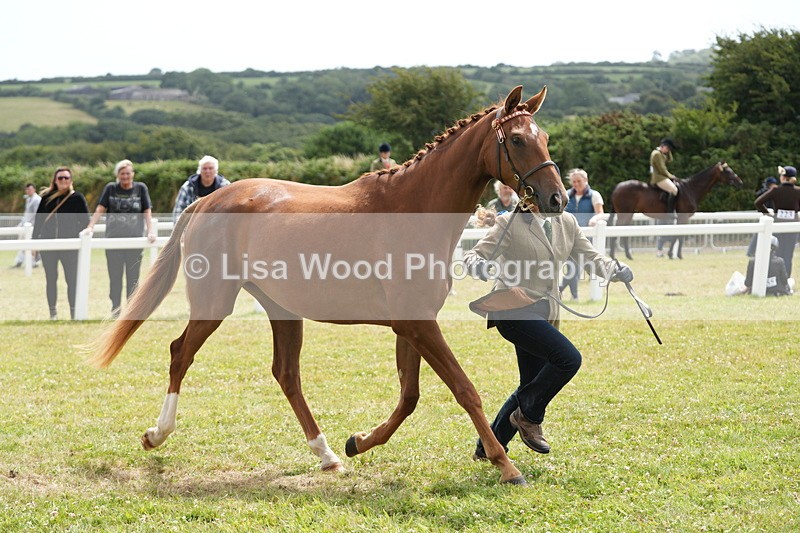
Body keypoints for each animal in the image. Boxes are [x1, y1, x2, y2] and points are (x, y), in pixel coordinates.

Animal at [89, 86, 566, 486]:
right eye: (518, 140)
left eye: (544, 137)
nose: (557, 198)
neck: (412, 206)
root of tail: (206, 201)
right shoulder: (418, 325)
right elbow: (464, 389)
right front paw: (506, 466)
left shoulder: (412, 325)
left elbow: (409, 396)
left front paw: (358, 442)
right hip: (215, 301)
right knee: (180, 353)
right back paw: (157, 434)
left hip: (281, 309)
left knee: (285, 373)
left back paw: (327, 454)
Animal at [607, 162, 742, 259]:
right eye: (728, 171)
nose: (739, 182)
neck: (691, 189)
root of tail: (617, 187)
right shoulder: (683, 217)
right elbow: (678, 236)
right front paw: (675, 255)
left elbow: (677, 236)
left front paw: (673, 254)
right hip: (624, 215)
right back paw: (613, 256)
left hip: (629, 214)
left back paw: (628, 256)